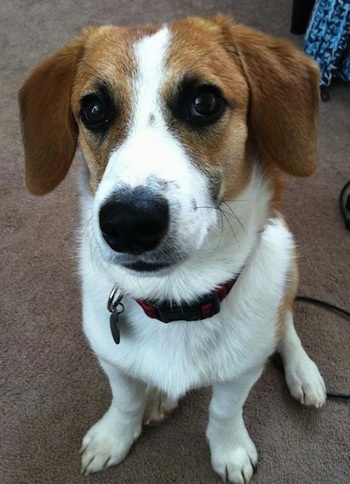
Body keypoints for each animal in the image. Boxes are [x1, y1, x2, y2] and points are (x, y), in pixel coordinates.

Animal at [18, 16, 326, 484]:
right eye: (94, 110)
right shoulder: (112, 359)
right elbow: (125, 400)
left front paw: (229, 449)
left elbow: (225, 410)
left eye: (205, 102)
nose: (128, 223)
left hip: (286, 258)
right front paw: (115, 435)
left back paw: (303, 372)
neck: (177, 299)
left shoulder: (242, 372)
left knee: (286, 320)